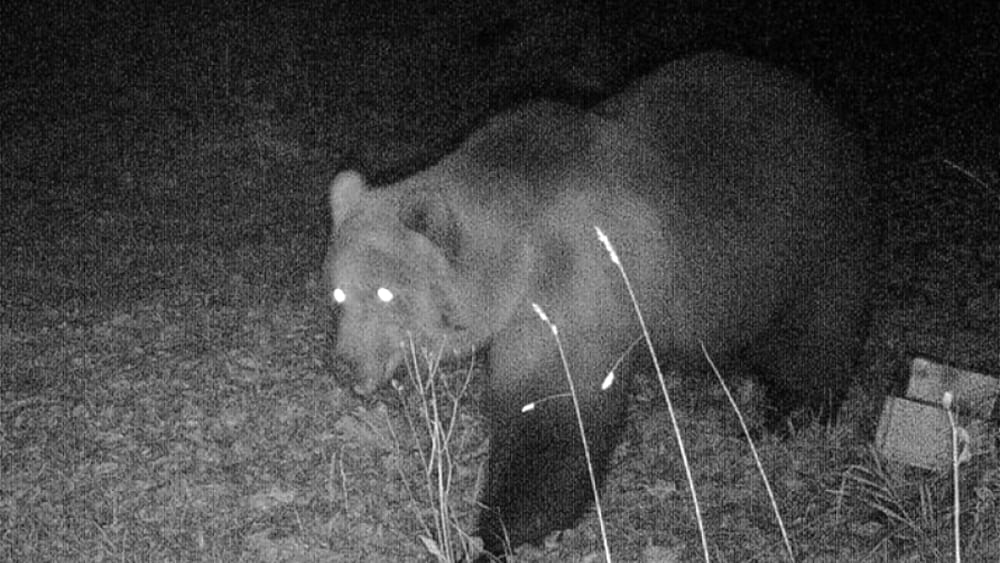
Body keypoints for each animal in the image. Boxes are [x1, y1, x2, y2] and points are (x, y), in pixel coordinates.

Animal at [324, 51, 872, 560]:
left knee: (817, 337)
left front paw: (497, 532)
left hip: (812, 243)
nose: (345, 365)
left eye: (386, 294)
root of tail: (822, 108)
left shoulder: (577, 287)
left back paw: (786, 417)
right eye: (337, 292)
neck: (518, 255)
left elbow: (554, 418)